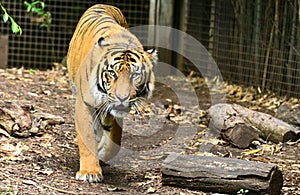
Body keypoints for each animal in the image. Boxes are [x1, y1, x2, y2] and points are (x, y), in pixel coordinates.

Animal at [67, 3, 157, 182]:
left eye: (135, 75)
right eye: (112, 73)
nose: (122, 98)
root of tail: (103, 4)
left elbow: (114, 139)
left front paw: (102, 155)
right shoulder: (84, 103)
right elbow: (87, 136)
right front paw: (89, 172)